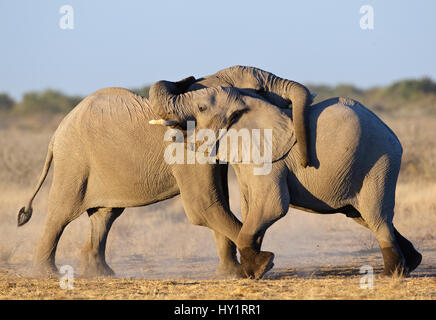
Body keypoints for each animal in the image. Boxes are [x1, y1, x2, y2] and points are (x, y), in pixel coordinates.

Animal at [17, 81, 250, 278]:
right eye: (202, 108)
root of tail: (57, 132)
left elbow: (219, 199)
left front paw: (233, 272)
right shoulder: (186, 149)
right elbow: (203, 205)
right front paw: (250, 267)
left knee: (105, 215)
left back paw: (101, 274)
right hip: (73, 161)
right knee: (61, 213)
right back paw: (48, 274)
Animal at [151, 84, 422, 276]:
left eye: (201, 108)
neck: (247, 104)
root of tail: (391, 133)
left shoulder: (270, 161)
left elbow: (271, 206)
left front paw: (262, 267)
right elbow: (251, 210)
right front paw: (256, 267)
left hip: (379, 161)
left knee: (376, 216)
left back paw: (391, 274)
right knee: (361, 215)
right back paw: (412, 262)